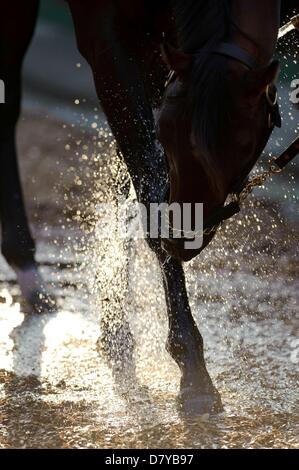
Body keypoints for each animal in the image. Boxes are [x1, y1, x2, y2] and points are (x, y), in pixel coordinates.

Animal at [0, 0, 284, 414]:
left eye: (241, 147)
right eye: (168, 132)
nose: (182, 241)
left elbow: (133, 181)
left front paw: (114, 318)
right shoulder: (109, 46)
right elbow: (149, 194)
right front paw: (192, 369)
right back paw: (27, 270)